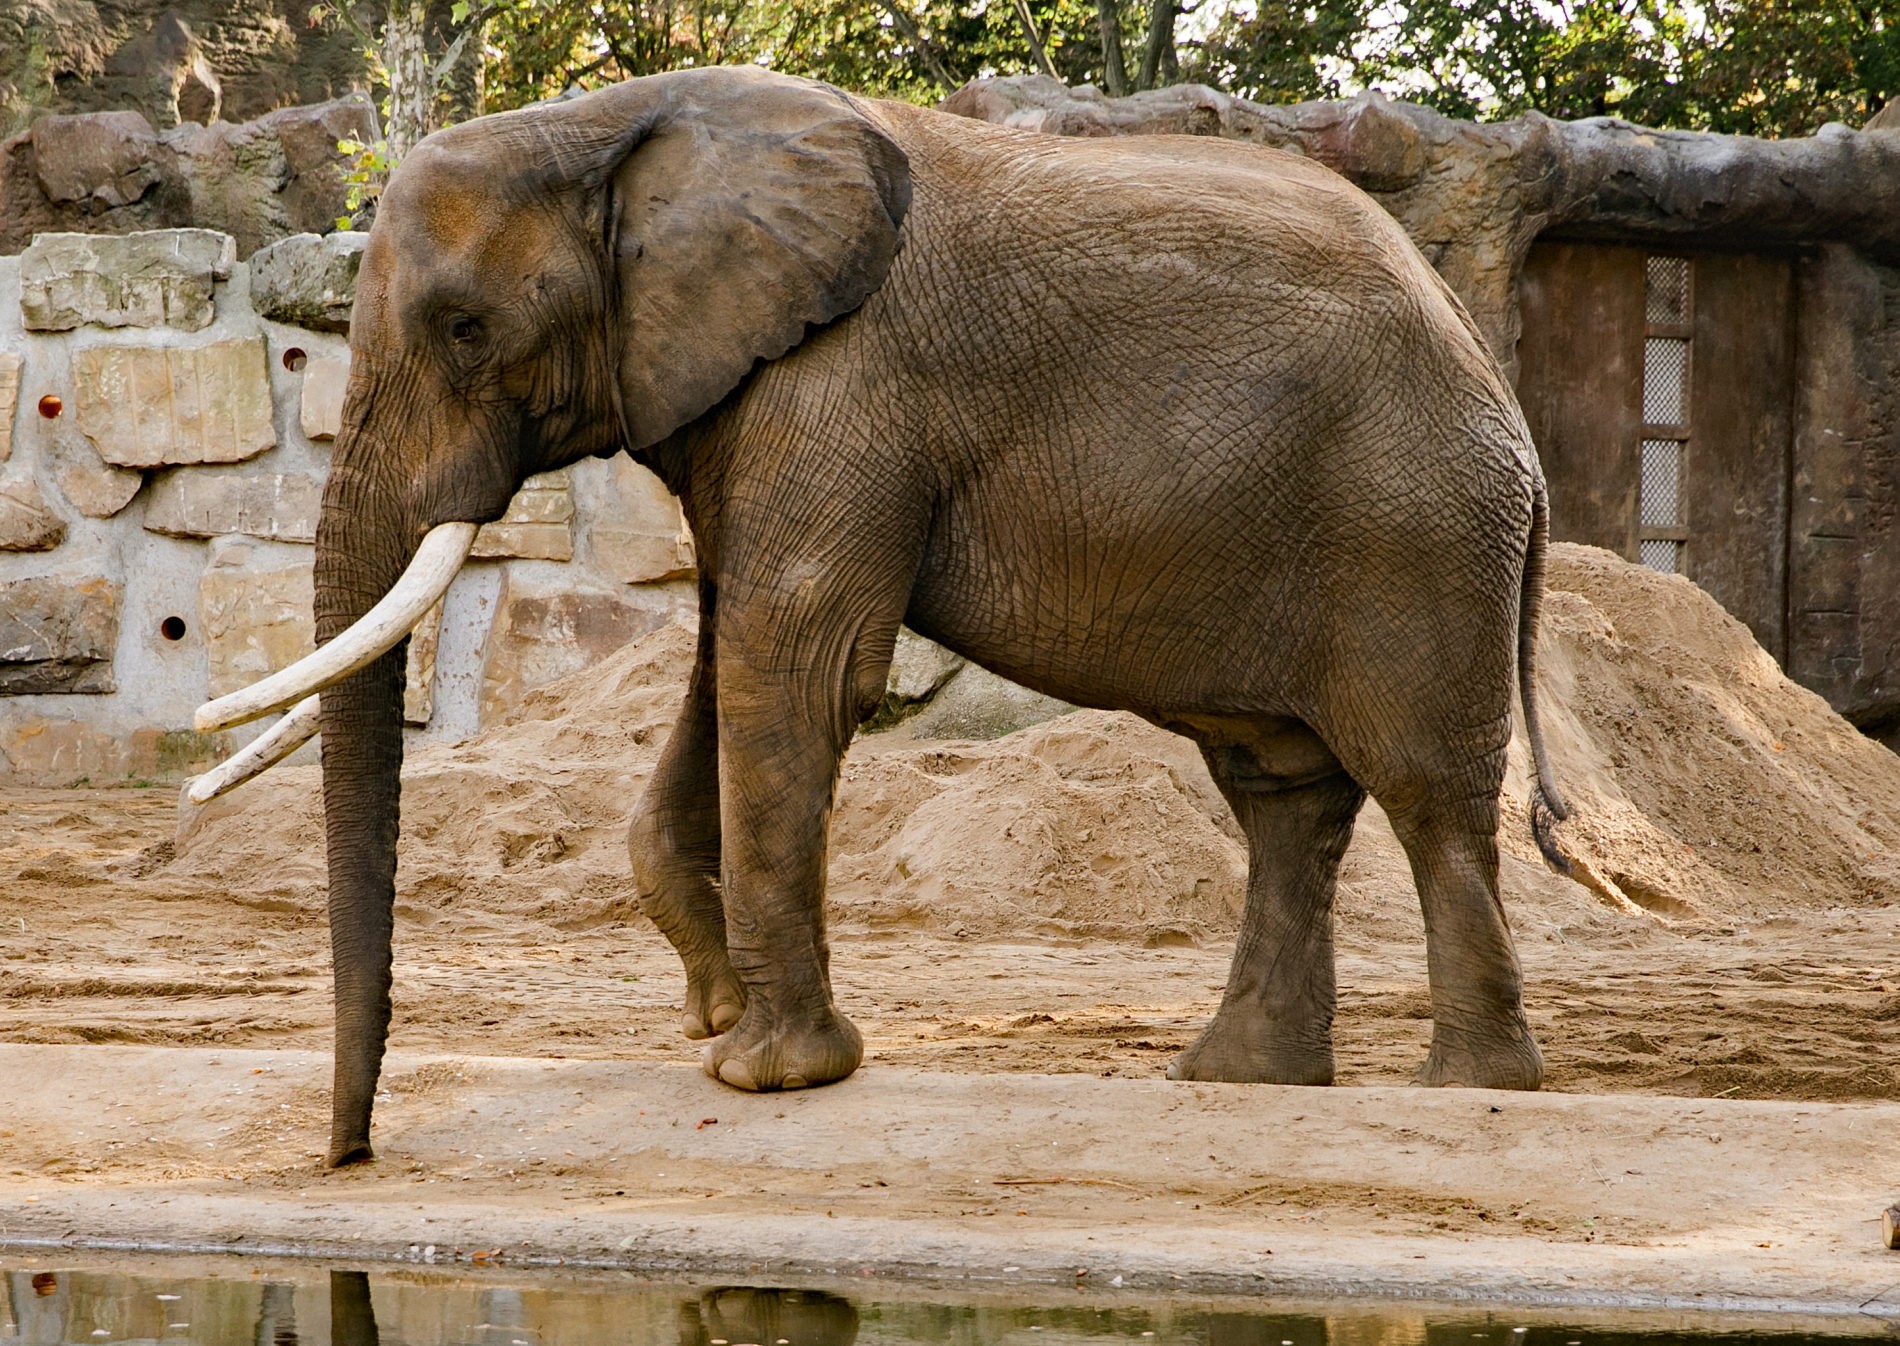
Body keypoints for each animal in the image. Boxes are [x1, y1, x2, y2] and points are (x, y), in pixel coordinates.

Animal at [200, 63, 1573, 1163]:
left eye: (467, 328)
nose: (351, 1156)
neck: (612, 124)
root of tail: (1502, 393)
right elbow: (726, 653)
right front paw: (717, 1012)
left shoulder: (843, 377)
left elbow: (793, 663)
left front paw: (765, 1073)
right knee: (1282, 791)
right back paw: (1239, 1080)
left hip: (1413, 531)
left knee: (1425, 793)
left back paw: (1466, 1089)